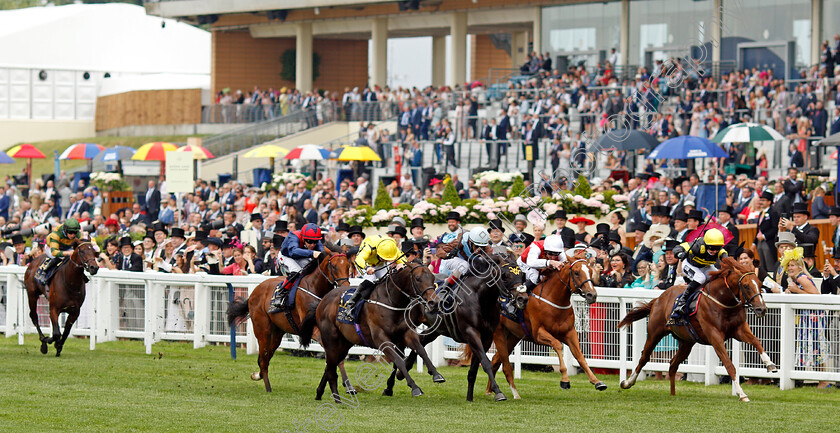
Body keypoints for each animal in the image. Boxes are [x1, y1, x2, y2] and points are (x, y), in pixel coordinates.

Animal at [225, 250, 352, 392]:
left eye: (348, 266)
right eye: (334, 267)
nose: (345, 287)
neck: (315, 287)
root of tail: (253, 293)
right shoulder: (311, 329)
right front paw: (347, 386)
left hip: (277, 332)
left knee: (266, 356)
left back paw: (258, 375)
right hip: (263, 329)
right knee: (264, 357)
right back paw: (268, 387)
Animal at [316, 262, 442, 400]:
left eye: (433, 278)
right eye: (418, 278)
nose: (434, 302)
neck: (392, 301)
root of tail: (323, 299)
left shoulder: (407, 334)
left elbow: (422, 351)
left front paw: (436, 374)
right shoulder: (382, 340)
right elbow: (399, 361)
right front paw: (414, 387)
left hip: (344, 343)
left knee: (331, 364)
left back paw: (320, 392)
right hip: (331, 340)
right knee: (331, 363)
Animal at [384, 253, 528, 402]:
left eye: (522, 275)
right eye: (506, 276)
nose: (523, 298)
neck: (481, 299)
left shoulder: (487, 338)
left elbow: (474, 369)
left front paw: (469, 398)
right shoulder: (471, 333)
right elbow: (486, 362)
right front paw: (498, 392)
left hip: (436, 329)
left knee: (421, 341)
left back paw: (404, 371)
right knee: (400, 350)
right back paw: (389, 387)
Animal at [486, 256, 604, 398]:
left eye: (591, 272)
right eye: (576, 272)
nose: (592, 295)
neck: (553, 300)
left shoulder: (570, 333)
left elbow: (580, 356)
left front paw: (596, 381)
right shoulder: (538, 333)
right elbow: (557, 345)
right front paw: (565, 380)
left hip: (513, 336)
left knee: (495, 359)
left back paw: (490, 390)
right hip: (499, 333)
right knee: (501, 362)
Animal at [612, 256, 776, 402]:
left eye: (760, 284)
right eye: (746, 286)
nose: (761, 309)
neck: (723, 301)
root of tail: (659, 298)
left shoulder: (739, 329)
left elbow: (756, 341)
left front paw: (770, 364)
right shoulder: (715, 336)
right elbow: (730, 365)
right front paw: (742, 395)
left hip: (686, 342)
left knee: (673, 364)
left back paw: (672, 394)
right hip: (655, 332)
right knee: (644, 357)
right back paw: (627, 382)